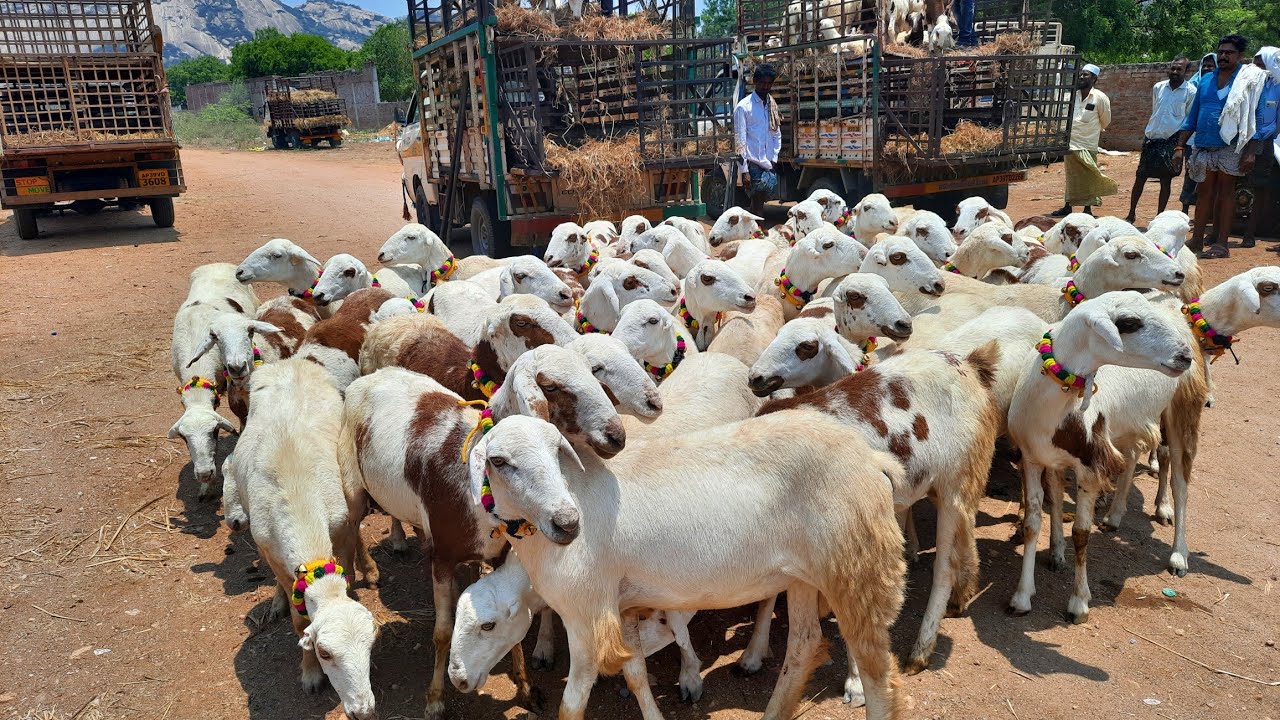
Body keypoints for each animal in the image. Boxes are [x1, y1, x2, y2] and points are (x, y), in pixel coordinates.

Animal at [228, 358, 377, 719]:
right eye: (324, 653)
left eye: (371, 646)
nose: (363, 710)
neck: (299, 498)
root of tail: (292, 361)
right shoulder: (273, 551)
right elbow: (299, 623)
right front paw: (310, 675)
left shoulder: (341, 527)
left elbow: (349, 570)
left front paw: (359, 574)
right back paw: (278, 600)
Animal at [338, 345, 626, 720]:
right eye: (551, 386)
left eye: (593, 372)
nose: (617, 435)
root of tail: (373, 376)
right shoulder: (442, 557)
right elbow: (443, 632)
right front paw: (434, 699)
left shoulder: (500, 553)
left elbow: (513, 626)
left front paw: (526, 688)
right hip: (353, 484)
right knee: (353, 528)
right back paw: (365, 574)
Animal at [1006, 292, 1197, 622]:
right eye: (1129, 323)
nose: (1184, 357)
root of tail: (1172, 301)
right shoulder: (1033, 459)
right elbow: (1033, 524)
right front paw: (1022, 596)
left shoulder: (1088, 468)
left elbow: (1081, 533)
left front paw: (1078, 603)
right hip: (1127, 425)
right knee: (1132, 458)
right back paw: (1113, 517)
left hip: (1180, 411)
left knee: (1180, 483)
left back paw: (1177, 552)